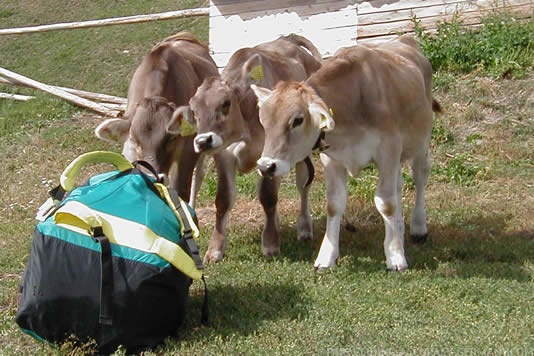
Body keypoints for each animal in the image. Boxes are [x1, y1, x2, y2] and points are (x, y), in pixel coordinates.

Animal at [253, 34, 446, 272]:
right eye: (263, 120)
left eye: (297, 120)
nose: (265, 166)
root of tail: (405, 39)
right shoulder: (332, 159)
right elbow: (334, 205)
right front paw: (326, 256)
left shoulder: (388, 151)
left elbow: (386, 203)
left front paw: (395, 256)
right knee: (399, 186)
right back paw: (400, 228)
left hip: (421, 142)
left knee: (420, 177)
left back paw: (418, 227)